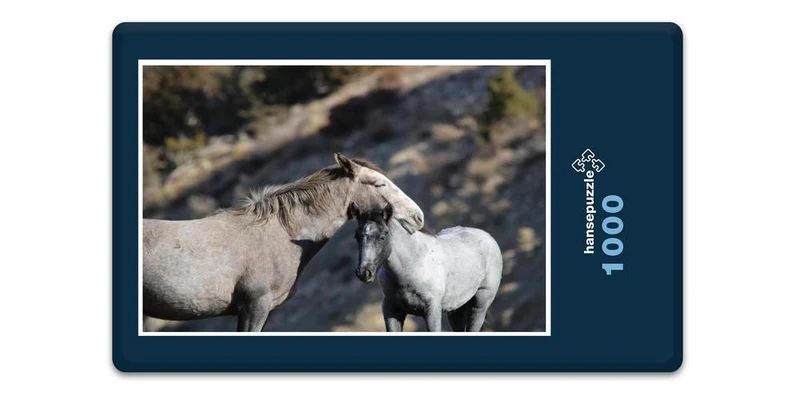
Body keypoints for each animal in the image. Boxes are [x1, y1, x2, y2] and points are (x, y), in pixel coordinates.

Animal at [349, 202, 503, 332]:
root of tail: (488, 237)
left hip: (479, 305)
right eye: (356, 236)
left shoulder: (432, 311)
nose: (364, 272)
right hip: (456, 309)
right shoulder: (391, 311)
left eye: (382, 237)